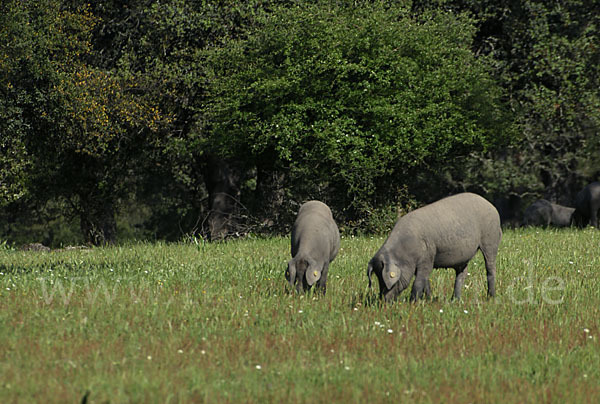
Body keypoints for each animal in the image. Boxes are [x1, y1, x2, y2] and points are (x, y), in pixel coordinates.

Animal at [366, 193, 502, 304]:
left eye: (386, 282)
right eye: (378, 280)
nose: (383, 301)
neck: (406, 252)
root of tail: (492, 206)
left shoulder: (428, 257)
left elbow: (419, 282)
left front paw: (413, 303)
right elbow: (426, 281)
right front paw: (428, 300)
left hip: (491, 239)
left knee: (490, 268)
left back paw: (491, 298)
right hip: (463, 257)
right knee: (461, 274)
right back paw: (455, 300)